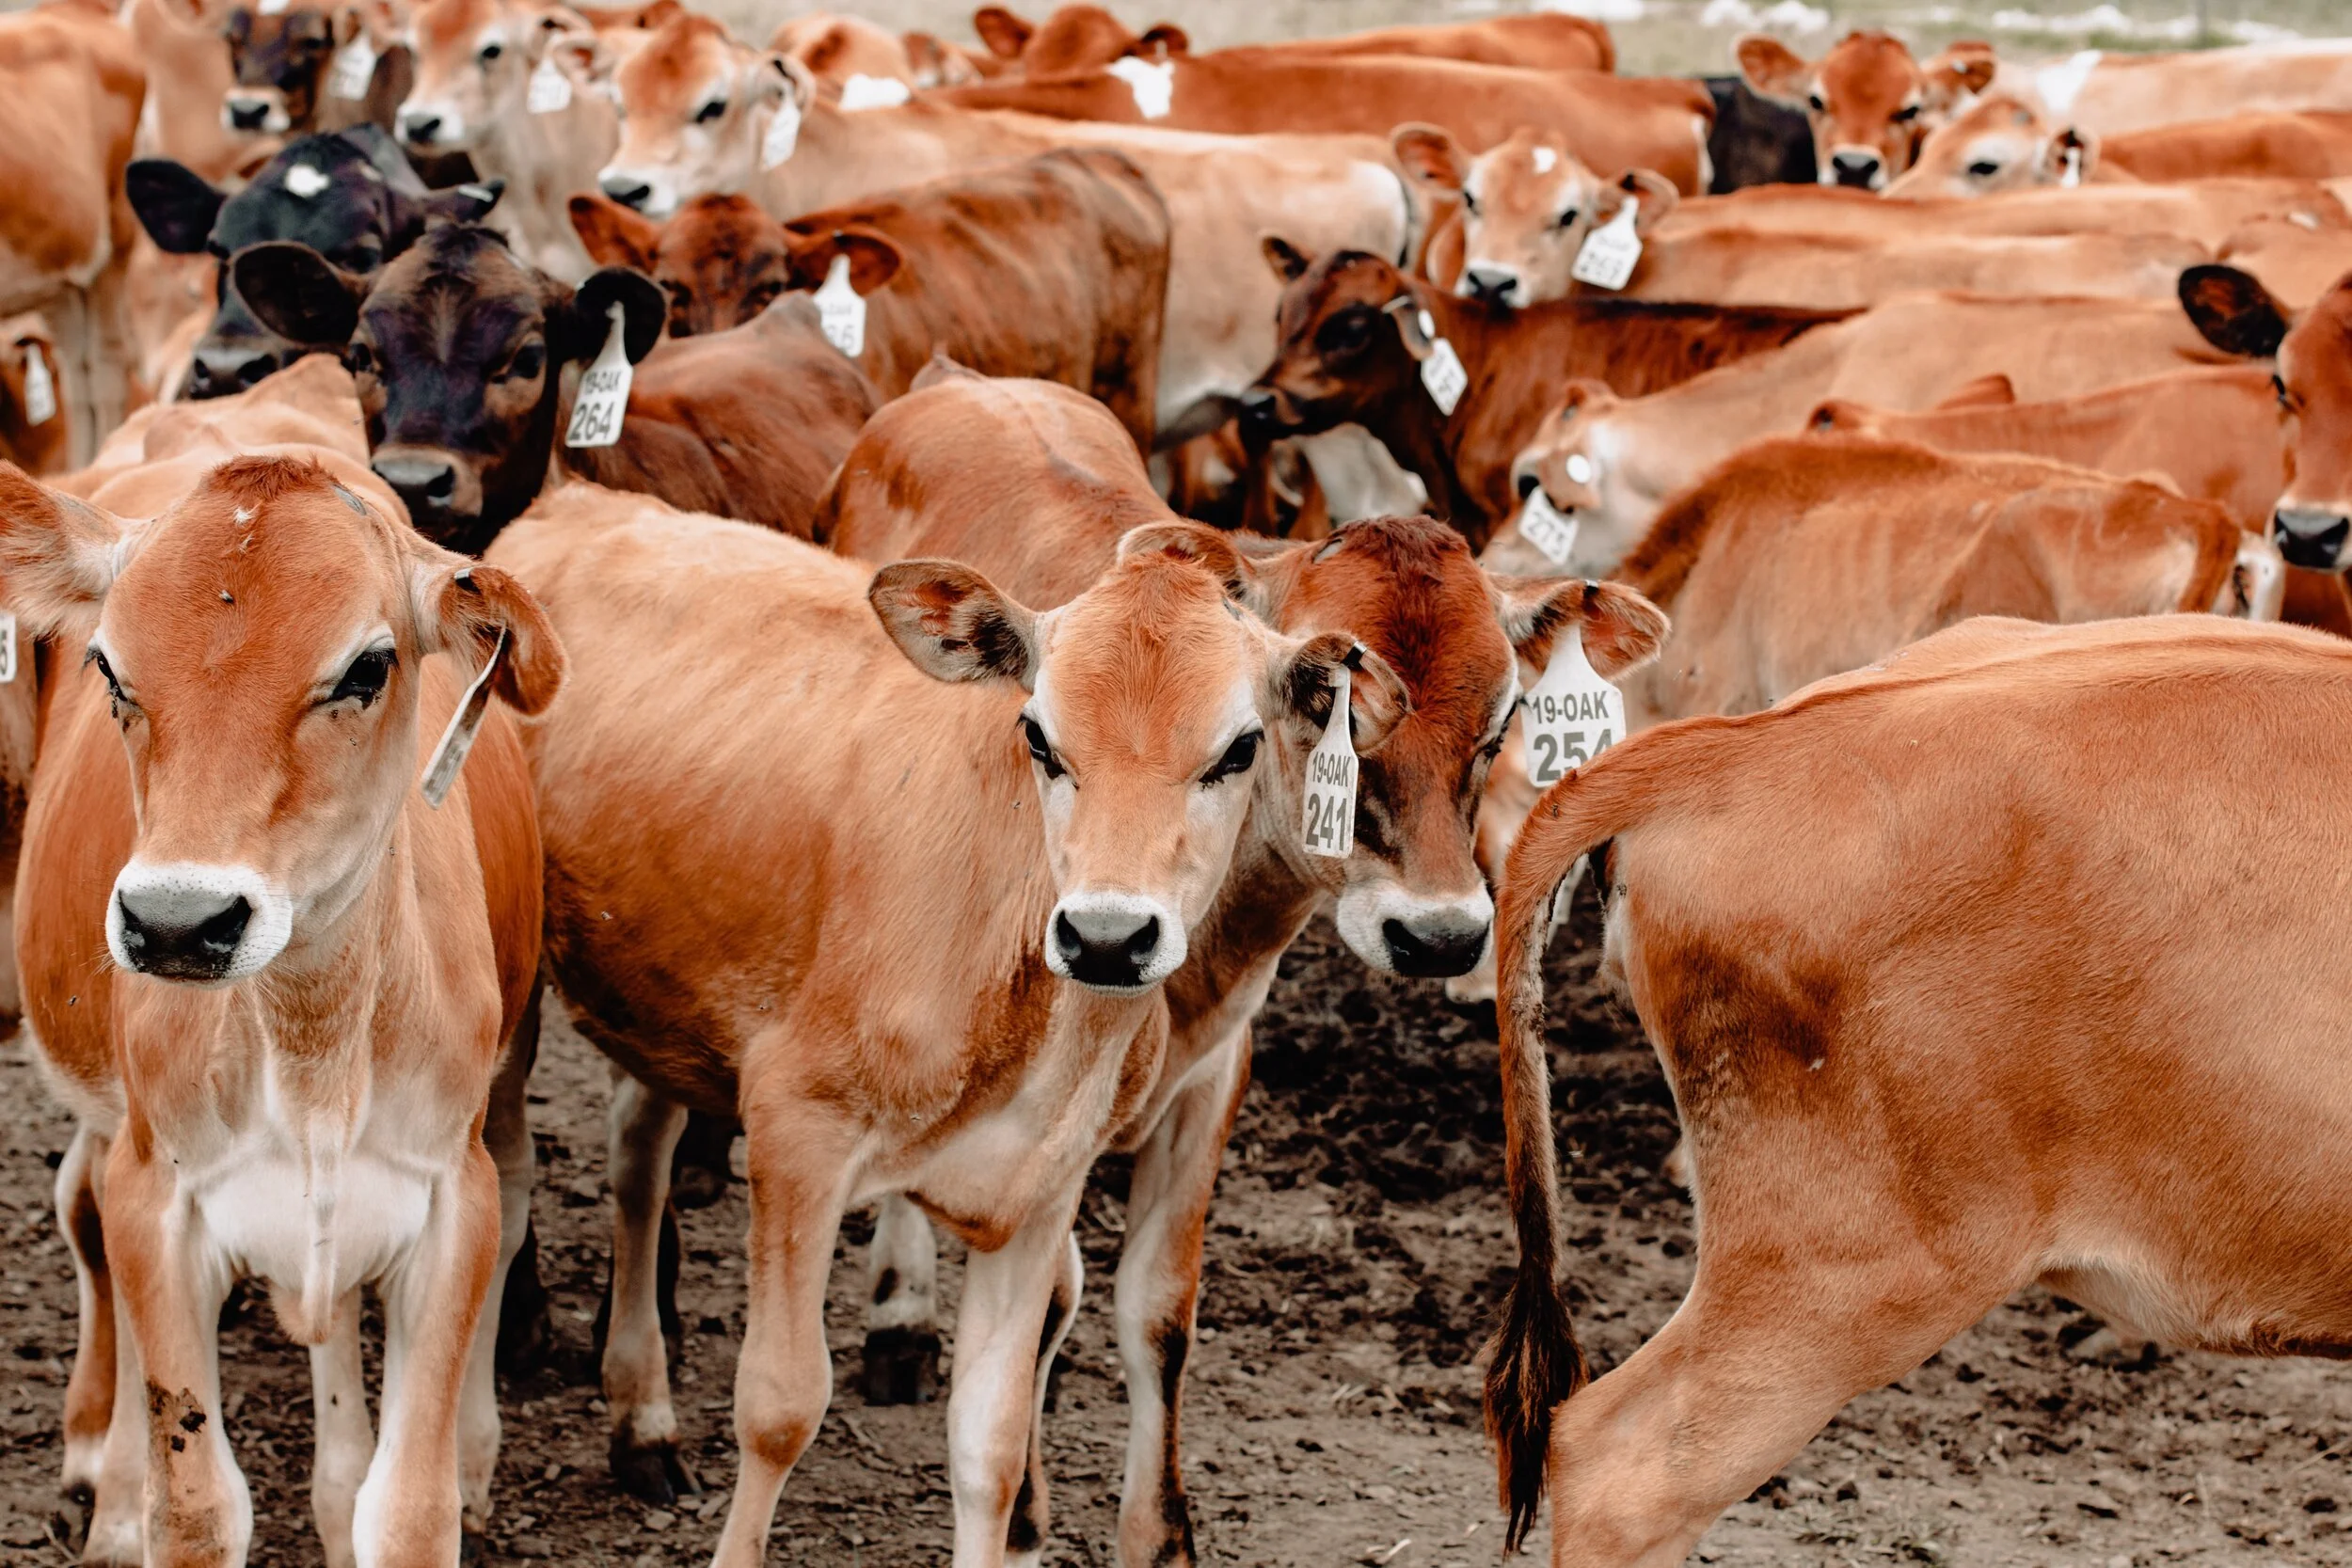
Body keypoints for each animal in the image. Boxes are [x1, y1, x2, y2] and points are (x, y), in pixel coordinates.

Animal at [9, 448, 562, 1566]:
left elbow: (408, 1505)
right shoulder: (159, 1198)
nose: (179, 922)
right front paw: (137, 1499)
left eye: (366, 668)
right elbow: (196, 1504)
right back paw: (108, 1478)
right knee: (84, 1211)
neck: (313, 1040)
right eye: (108, 668)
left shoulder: (451, 1198)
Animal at [487, 484, 1412, 1563]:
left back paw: (642, 1421)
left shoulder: (1040, 1187)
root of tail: (577, 500)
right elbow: (779, 1405)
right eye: (1038, 736)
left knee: (639, 1161)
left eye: (1239, 747)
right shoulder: (798, 1126)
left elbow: (991, 1445)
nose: (1107, 935)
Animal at [799, 365, 1666, 1562]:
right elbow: (1049, 1294)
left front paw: (1156, 1528)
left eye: (1499, 725)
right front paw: (1023, 1507)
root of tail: (962, 381)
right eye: (1329, 709)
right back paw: (897, 1308)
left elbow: (1156, 1309)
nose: (1439, 933)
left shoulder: (1214, 1075)